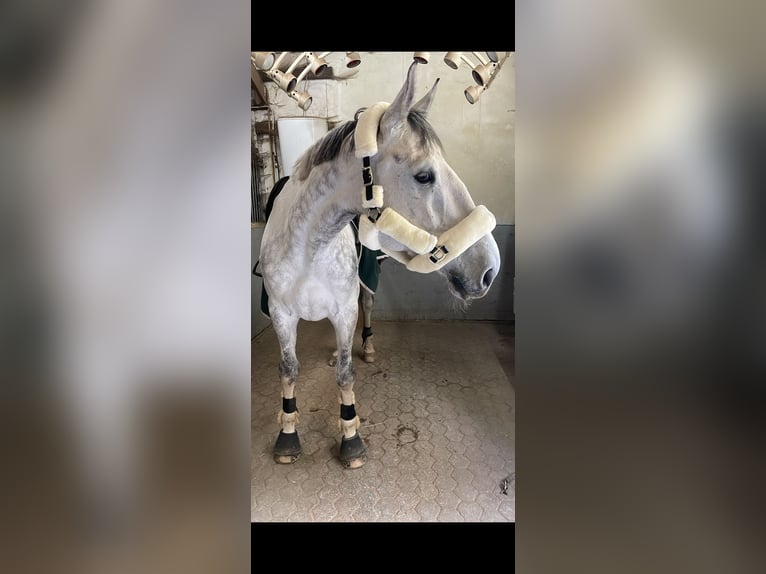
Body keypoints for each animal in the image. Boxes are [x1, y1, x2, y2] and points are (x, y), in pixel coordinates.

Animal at [258, 61, 501, 469]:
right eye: (424, 175)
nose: (489, 269)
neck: (309, 248)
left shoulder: (343, 310)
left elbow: (346, 373)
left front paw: (350, 436)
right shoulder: (281, 314)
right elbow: (288, 370)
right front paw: (287, 434)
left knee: (367, 306)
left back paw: (368, 347)